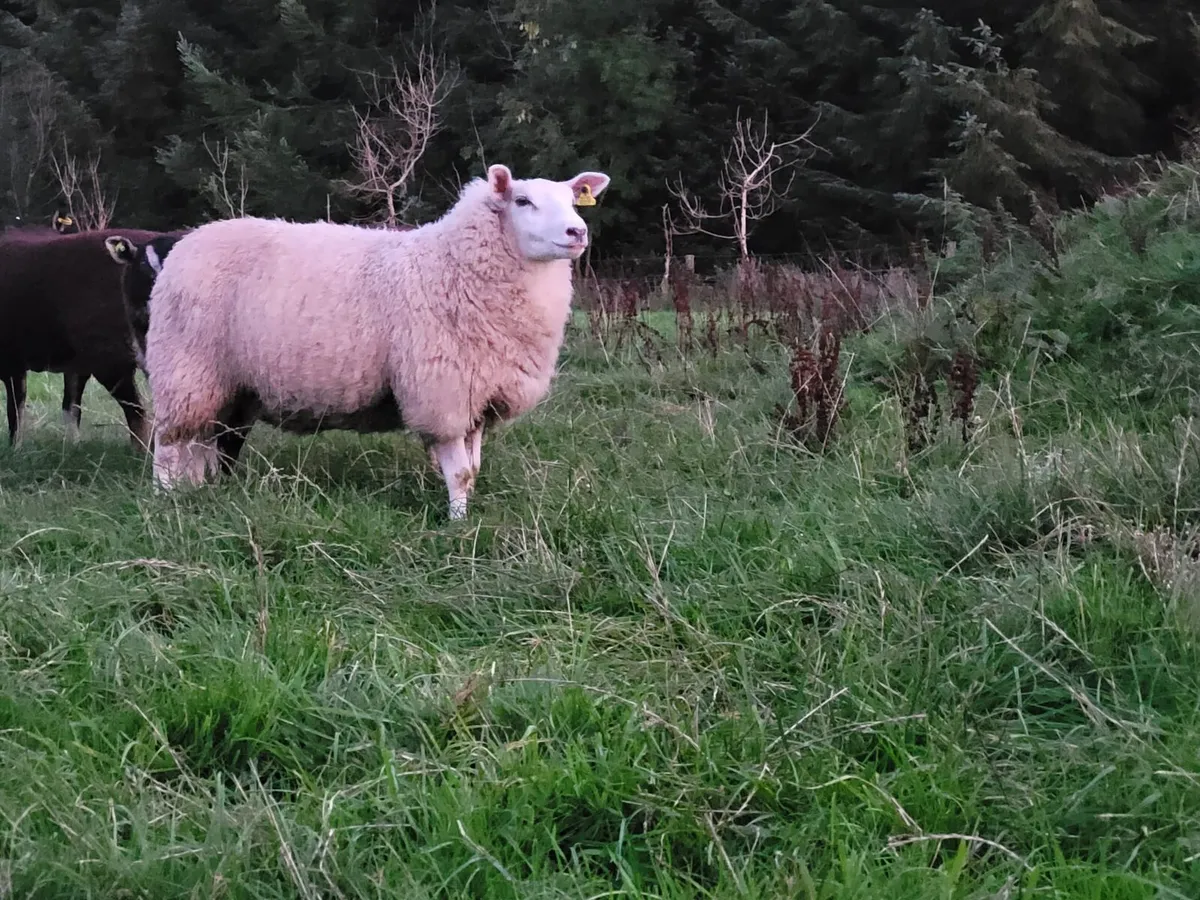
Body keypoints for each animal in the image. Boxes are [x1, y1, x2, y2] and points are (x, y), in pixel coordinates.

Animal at [0, 225, 169, 448]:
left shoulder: (13, 361)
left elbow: (15, 412)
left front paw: (15, 449)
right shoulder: (76, 366)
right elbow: (71, 408)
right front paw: (73, 446)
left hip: (113, 360)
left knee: (136, 411)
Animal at [145, 162, 611, 518]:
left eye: (573, 201)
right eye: (522, 201)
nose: (578, 232)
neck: (453, 265)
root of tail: (186, 243)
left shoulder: (477, 396)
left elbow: (474, 468)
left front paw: (466, 512)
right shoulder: (442, 391)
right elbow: (459, 472)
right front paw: (459, 525)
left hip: (218, 382)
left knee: (199, 441)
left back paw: (199, 491)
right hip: (184, 366)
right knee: (168, 445)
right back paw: (166, 501)